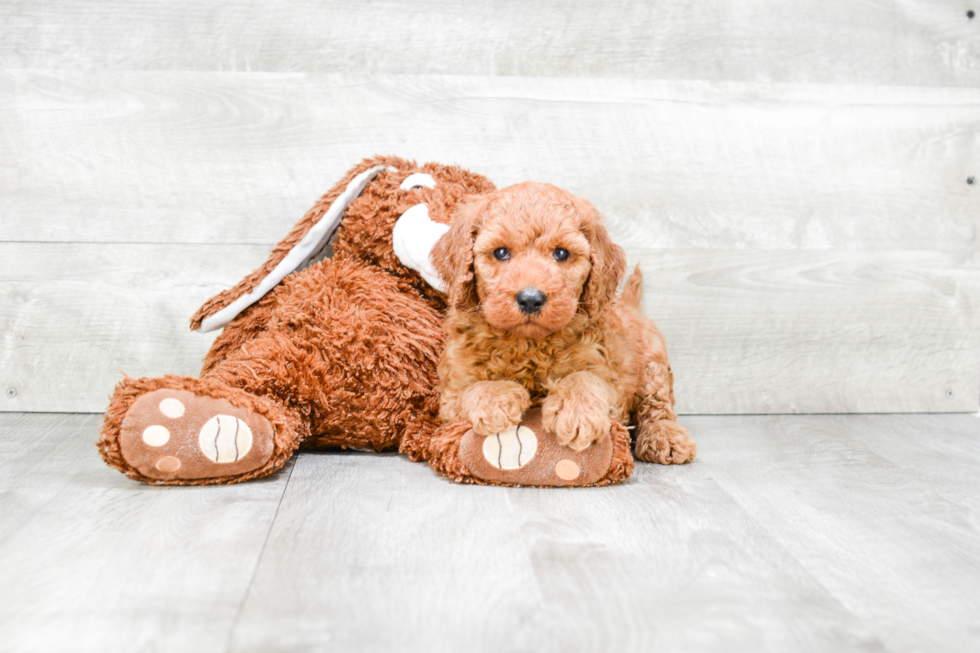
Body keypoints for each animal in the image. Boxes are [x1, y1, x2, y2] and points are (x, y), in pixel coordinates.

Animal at [430, 180, 696, 464]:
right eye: (501, 252)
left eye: (561, 253)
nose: (530, 299)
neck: (528, 344)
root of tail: (629, 306)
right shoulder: (451, 394)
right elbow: (472, 389)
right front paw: (495, 398)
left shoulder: (605, 369)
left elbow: (585, 378)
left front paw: (576, 412)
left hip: (653, 366)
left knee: (657, 405)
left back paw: (665, 437)